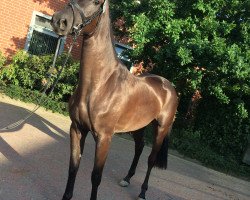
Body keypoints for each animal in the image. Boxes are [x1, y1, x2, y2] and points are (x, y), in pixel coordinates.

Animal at [50, 0, 178, 199]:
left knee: (151, 159)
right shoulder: (77, 129)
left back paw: (142, 192)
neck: (101, 85)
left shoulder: (104, 137)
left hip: (161, 128)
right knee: (139, 148)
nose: (59, 21)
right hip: (138, 126)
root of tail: (168, 86)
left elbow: (96, 176)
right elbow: (73, 168)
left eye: (97, 3)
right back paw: (127, 178)